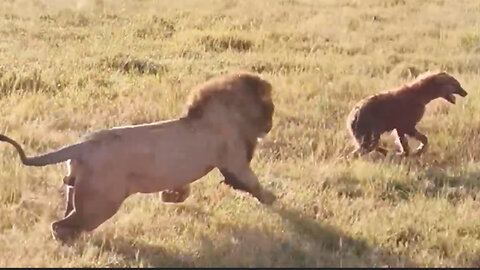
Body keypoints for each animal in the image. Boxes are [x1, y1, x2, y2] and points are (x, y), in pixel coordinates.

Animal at [0, 71, 276, 243]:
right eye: (271, 109)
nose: (270, 125)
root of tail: (82, 145)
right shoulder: (234, 162)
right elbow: (253, 184)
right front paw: (273, 199)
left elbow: (182, 189)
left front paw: (170, 197)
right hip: (101, 203)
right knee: (60, 225)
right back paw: (70, 243)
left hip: (77, 194)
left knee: (65, 218)